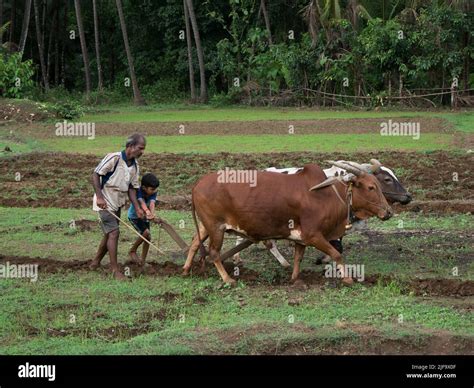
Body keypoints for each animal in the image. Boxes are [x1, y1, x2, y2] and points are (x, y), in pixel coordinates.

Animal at [182, 160, 392, 284]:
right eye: (371, 187)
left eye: (378, 184)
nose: (388, 212)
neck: (327, 196)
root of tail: (198, 184)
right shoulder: (314, 235)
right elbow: (336, 254)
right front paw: (347, 280)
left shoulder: (301, 238)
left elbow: (298, 258)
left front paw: (294, 279)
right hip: (216, 227)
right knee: (213, 253)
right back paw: (227, 279)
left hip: (206, 226)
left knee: (194, 243)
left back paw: (185, 269)